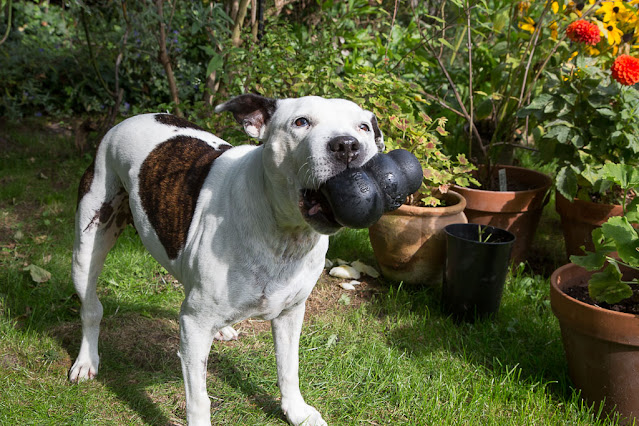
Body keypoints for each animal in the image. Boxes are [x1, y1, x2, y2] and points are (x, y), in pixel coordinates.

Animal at [68, 94, 384, 425]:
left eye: (363, 127)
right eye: (301, 122)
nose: (347, 145)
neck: (284, 233)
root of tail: (128, 120)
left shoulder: (291, 313)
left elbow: (289, 368)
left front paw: (296, 411)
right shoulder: (194, 328)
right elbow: (199, 398)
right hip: (87, 248)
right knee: (91, 308)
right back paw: (86, 360)